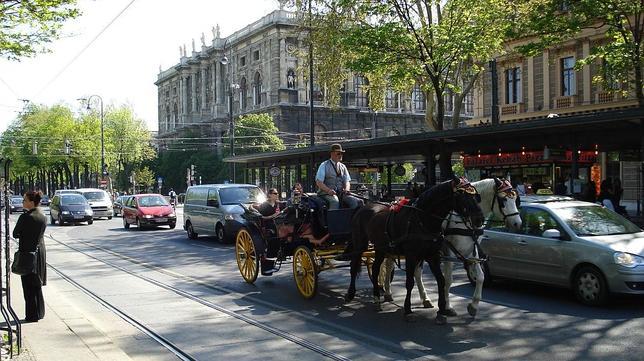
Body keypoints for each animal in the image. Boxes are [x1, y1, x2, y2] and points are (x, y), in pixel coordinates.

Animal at [344, 179, 480, 322]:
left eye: (476, 196)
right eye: (462, 195)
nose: (479, 219)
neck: (422, 219)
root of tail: (363, 207)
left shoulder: (433, 256)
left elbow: (441, 280)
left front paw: (442, 310)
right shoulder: (412, 255)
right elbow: (410, 282)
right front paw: (408, 309)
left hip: (380, 248)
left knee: (375, 269)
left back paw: (377, 299)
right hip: (360, 244)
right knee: (354, 266)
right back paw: (351, 293)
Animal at [378, 177, 524, 316]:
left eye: (516, 199)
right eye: (503, 199)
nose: (518, 223)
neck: (462, 220)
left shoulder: (472, 251)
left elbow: (480, 277)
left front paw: (473, 305)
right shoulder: (449, 252)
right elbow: (448, 280)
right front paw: (447, 306)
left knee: (416, 272)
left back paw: (425, 298)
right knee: (390, 265)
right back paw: (388, 292)